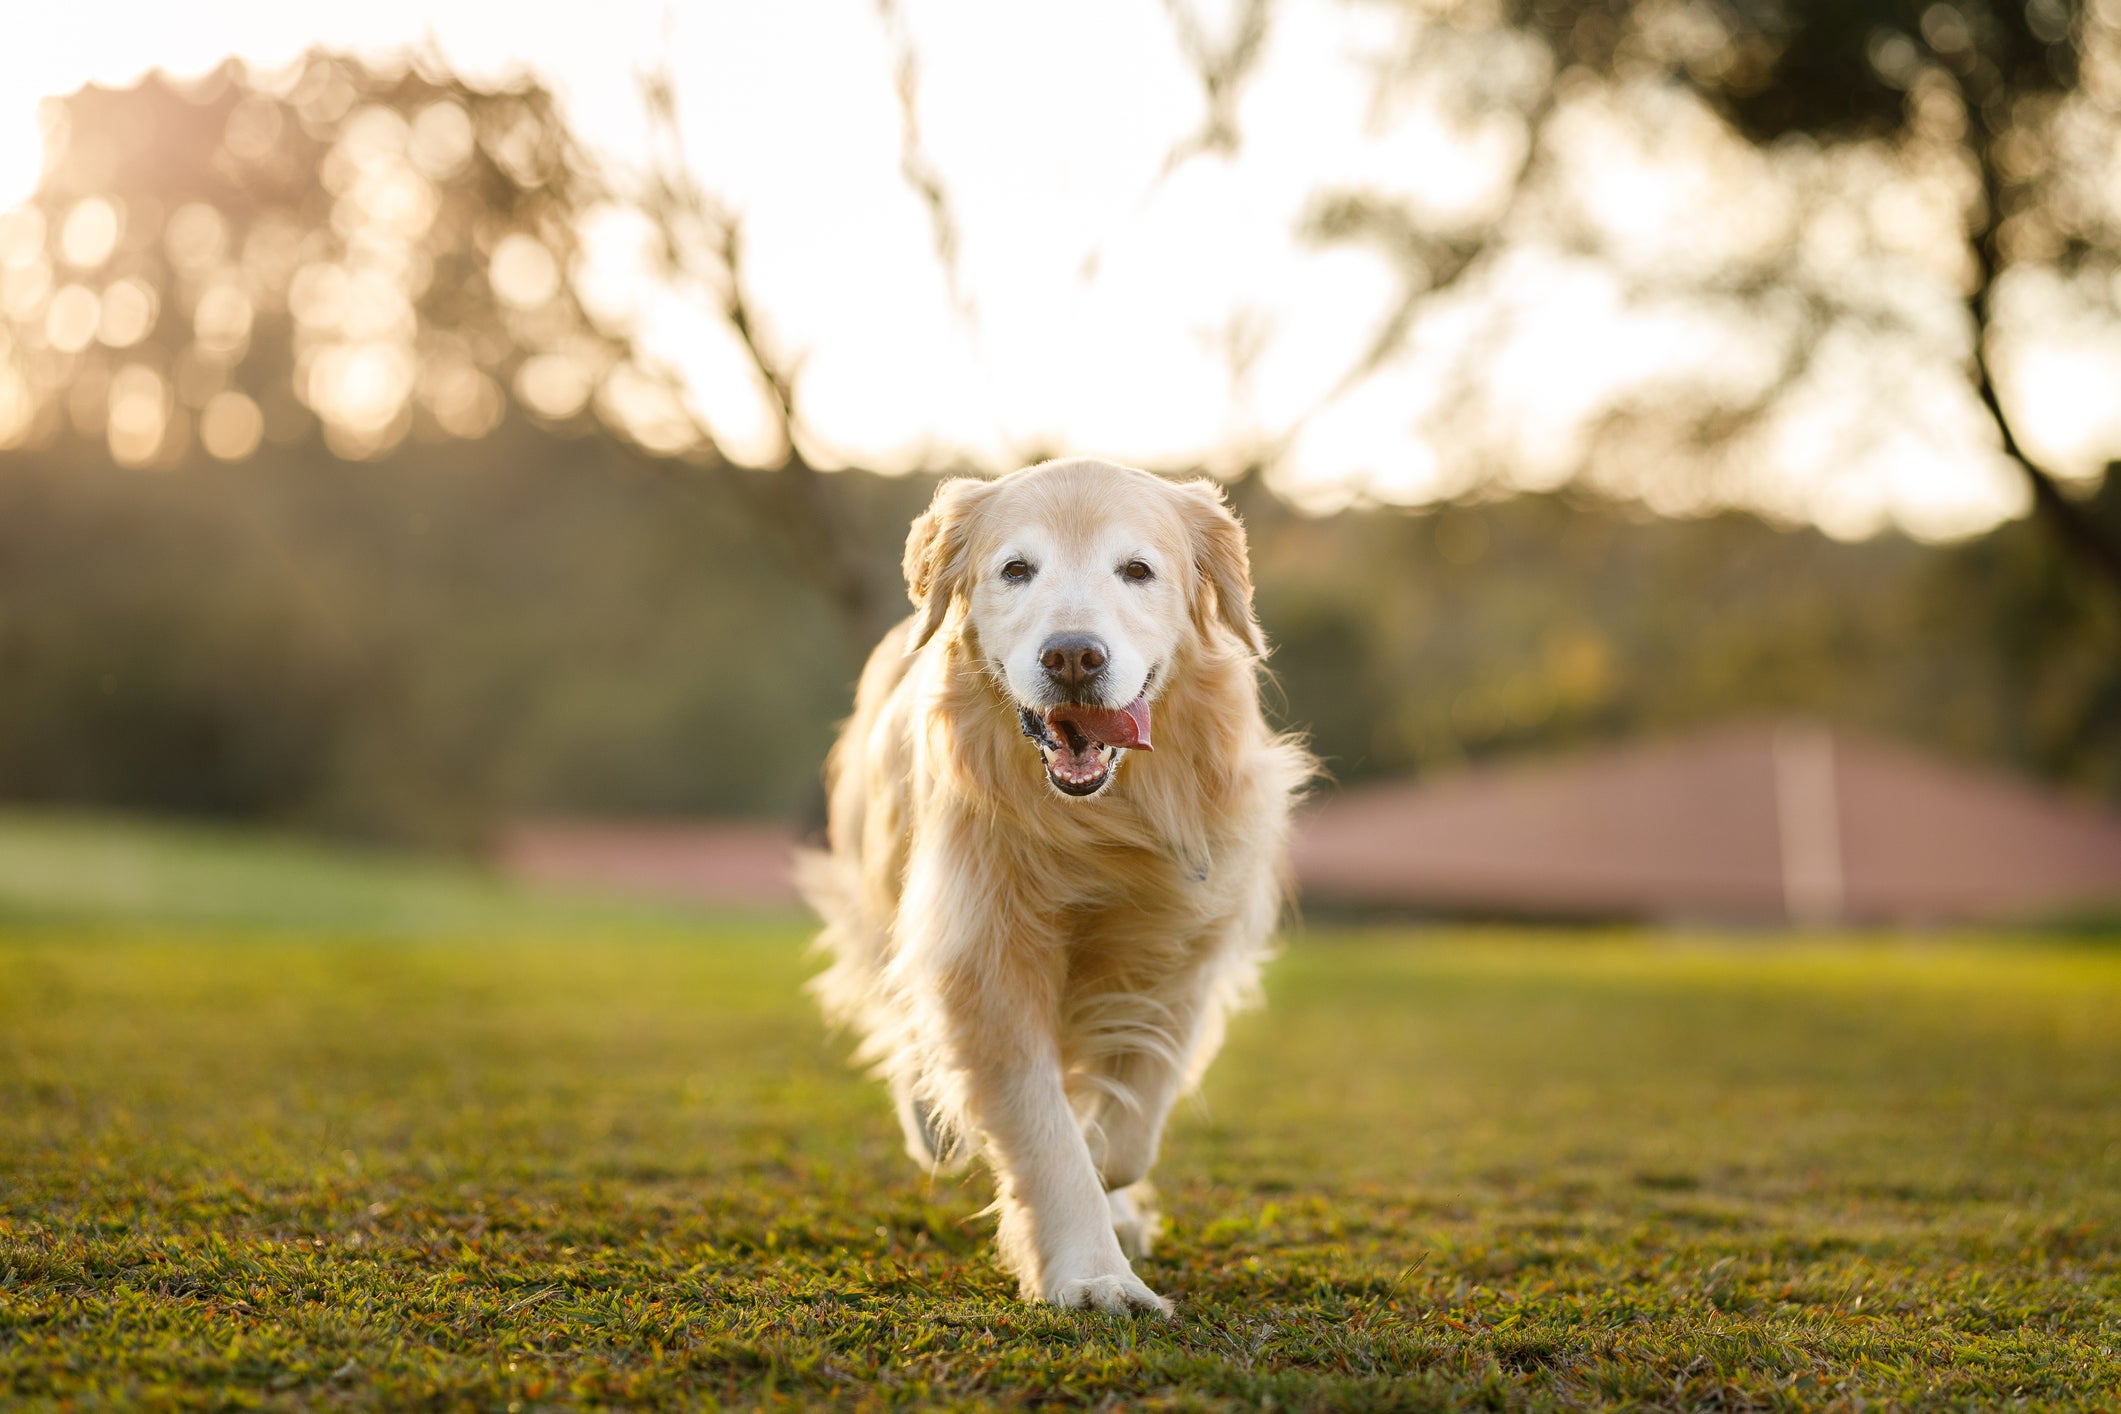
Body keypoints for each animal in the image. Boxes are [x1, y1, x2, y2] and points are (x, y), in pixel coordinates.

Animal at [797, 460, 1306, 1314]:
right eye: (1015, 570)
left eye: (1136, 570)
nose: (1073, 656)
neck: (1096, 820)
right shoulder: (981, 951)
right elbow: (1044, 1129)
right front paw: (1094, 1273)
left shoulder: (1183, 945)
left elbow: (1130, 1122)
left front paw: (1108, 1184)